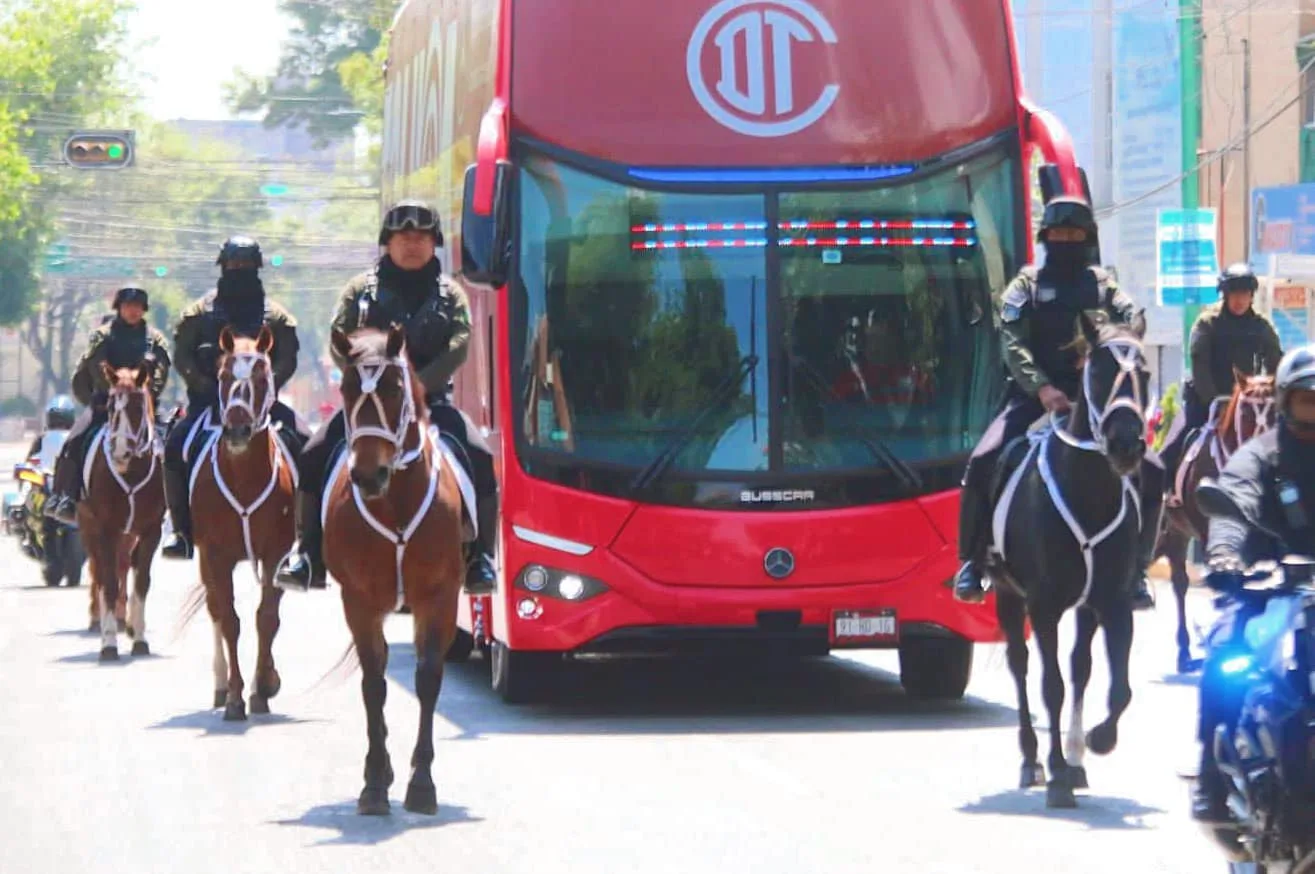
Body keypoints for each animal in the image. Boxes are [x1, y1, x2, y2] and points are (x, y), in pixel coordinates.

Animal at [78, 362, 164, 662]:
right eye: (110, 406)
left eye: (138, 407)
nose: (119, 453)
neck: (131, 472)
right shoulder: (106, 530)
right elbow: (109, 582)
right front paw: (108, 644)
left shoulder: (151, 530)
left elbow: (142, 582)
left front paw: (139, 638)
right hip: (89, 528)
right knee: (101, 572)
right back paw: (100, 620)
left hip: (129, 536)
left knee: (124, 566)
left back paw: (123, 620)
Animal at [189, 323, 297, 720]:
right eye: (222, 375)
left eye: (263, 376)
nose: (237, 430)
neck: (244, 477)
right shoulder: (216, 554)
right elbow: (230, 621)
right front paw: (236, 696)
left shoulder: (276, 553)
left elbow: (267, 618)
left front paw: (264, 684)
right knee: (215, 611)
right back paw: (221, 686)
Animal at [323, 323, 468, 814]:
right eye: (347, 388)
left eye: (394, 388)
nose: (369, 476)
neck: (397, 499)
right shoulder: (358, 601)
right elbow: (373, 684)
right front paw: (374, 781)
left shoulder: (440, 598)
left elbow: (427, 679)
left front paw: (421, 783)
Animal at [988, 310, 1151, 809]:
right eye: (1097, 372)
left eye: (1144, 374)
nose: (1125, 445)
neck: (1089, 489)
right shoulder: (1042, 606)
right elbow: (1051, 686)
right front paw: (1057, 773)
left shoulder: (1113, 602)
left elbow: (1118, 688)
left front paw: (1097, 740)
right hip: (1007, 595)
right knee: (1022, 666)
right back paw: (1032, 759)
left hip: (1084, 607)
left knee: (1081, 667)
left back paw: (1077, 758)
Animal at [1162, 370, 1272, 670]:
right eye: (1245, 412)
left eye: (1275, 411)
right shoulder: (1207, 534)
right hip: (1176, 532)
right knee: (1180, 584)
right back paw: (1184, 651)